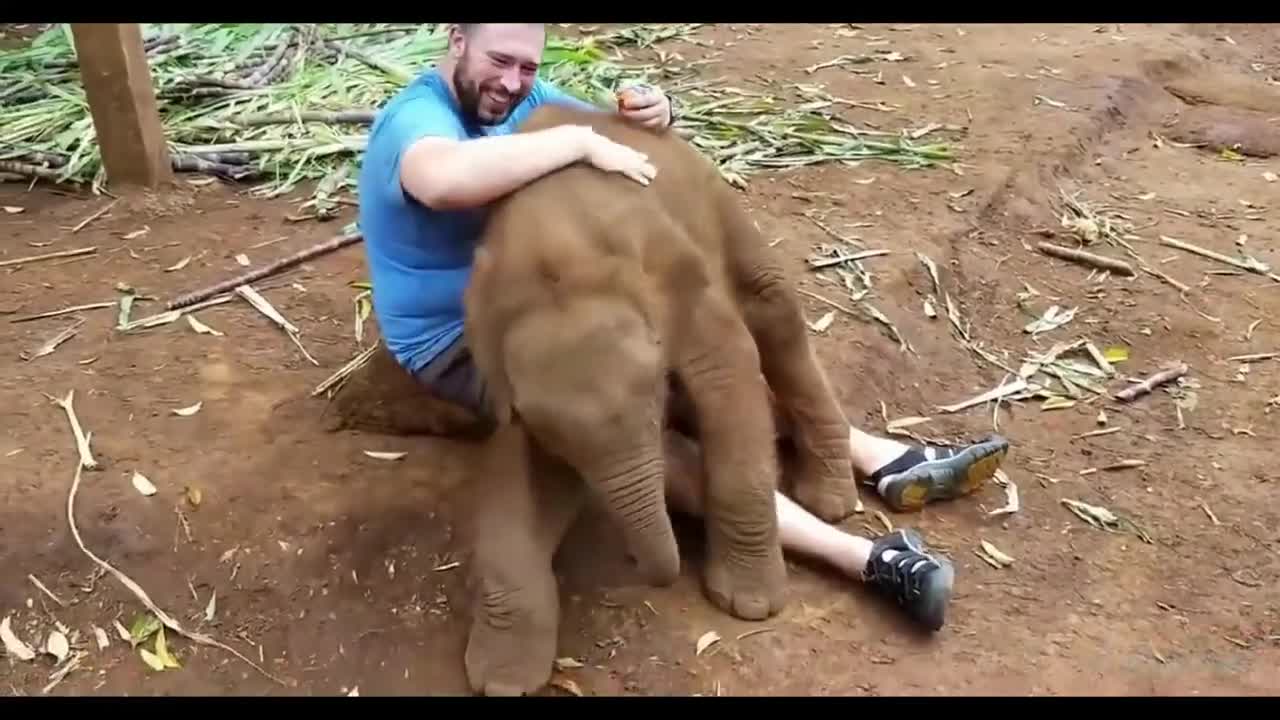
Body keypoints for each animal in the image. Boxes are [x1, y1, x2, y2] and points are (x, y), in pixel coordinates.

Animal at [460, 103, 860, 691]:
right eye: (560, 444)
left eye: (655, 393)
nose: (635, 565)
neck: (558, 260)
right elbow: (517, 470)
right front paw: (503, 680)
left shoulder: (680, 284)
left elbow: (729, 377)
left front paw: (750, 606)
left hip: (716, 199)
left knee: (773, 312)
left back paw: (830, 500)